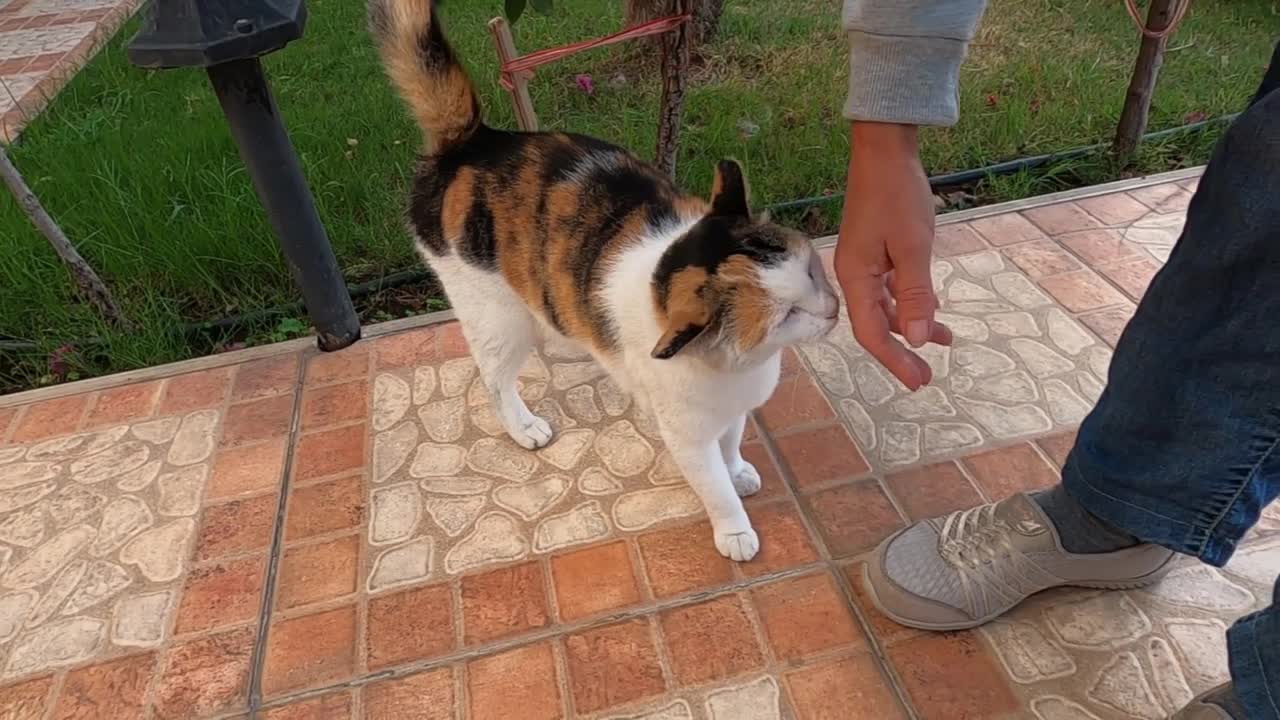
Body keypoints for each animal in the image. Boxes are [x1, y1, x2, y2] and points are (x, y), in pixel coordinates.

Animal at [366, 0, 839, 558]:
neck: (737, 368)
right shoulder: (687, 436)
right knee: (493, 377)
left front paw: (739, 468)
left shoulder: (731, 411)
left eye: (810, 271)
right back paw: (523, 426)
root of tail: (472, 143)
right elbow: (714, 485)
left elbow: (732, 440)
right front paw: (736, 530)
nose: (834, 309)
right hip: (497, 317)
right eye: (786, 314)